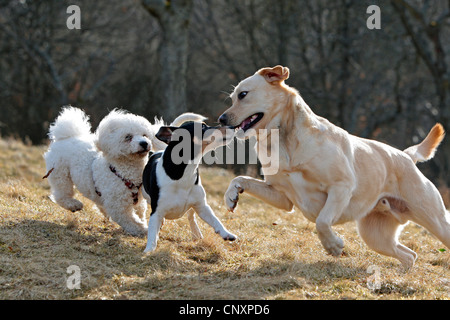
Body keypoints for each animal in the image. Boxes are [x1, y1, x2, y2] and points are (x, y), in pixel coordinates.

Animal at [43, 107, 202, 235]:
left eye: (145, 135)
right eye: (128, 137)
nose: (144, 143)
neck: (125, 172)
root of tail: (66, 137)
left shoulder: (139, 201)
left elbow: (140, 212)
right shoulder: (118, 206)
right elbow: (130, 220)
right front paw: (143, 230)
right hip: (60, 173)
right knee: (61, 194)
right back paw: (73, 204)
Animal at [142, 119, 237, 251]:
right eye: (202, 127)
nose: (233, 127)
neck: (184, 173)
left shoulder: (202, 206)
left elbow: (215, 220)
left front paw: (226, 233)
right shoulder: (156, 212)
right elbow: (152, 232)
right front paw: (149, 250)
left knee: (191, 217)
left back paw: (196, 233)